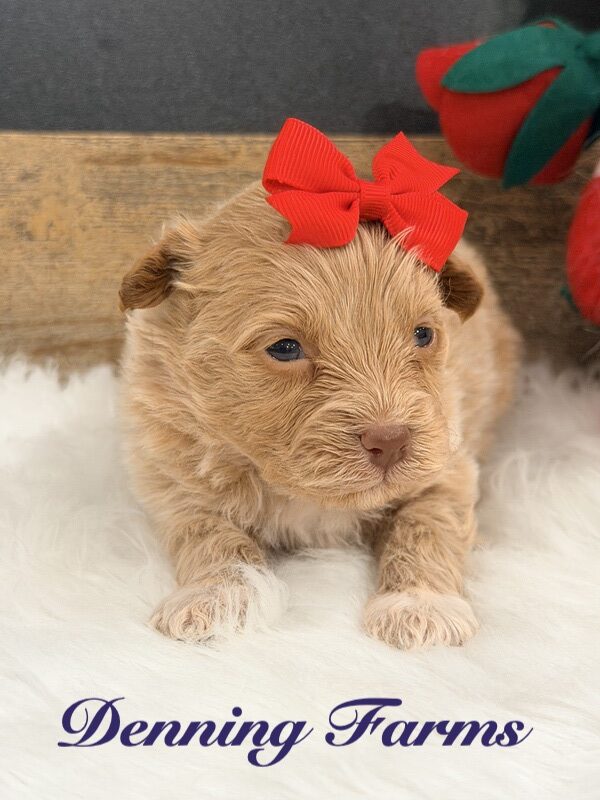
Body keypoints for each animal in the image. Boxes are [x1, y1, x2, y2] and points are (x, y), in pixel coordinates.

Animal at [119, 181, 520, 650]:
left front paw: (419, 604)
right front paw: (218, 595)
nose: (391, 441)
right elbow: (210, 533)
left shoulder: (445, 465)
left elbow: (426, 526)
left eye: (423, 335)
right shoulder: (174, 473)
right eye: (284, 348)